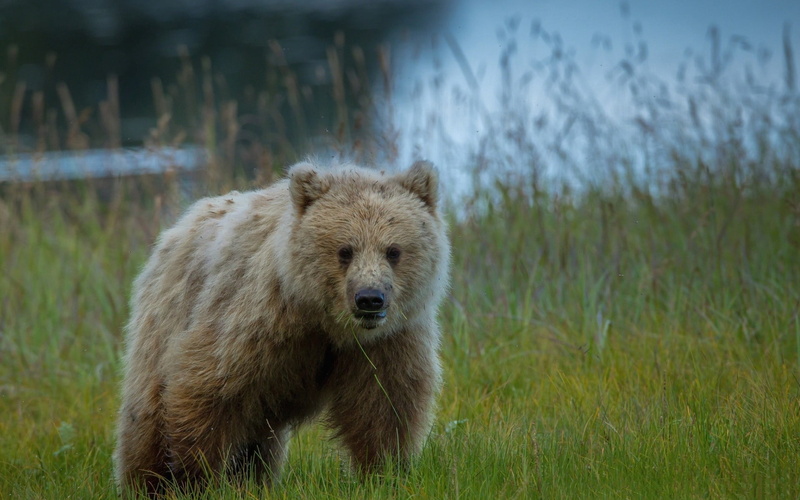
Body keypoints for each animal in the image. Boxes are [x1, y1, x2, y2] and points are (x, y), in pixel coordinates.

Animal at [114, 160, 451, 496]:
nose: (370, 298)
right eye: (345, 250)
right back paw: (145, 482)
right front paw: (194, 479)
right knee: (146, 417)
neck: (324, 321)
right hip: (165, 320)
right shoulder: (256, 321)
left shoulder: (387, 341)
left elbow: (384, 405)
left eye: (393, 250)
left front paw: (384, 473)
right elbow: (207, 389)